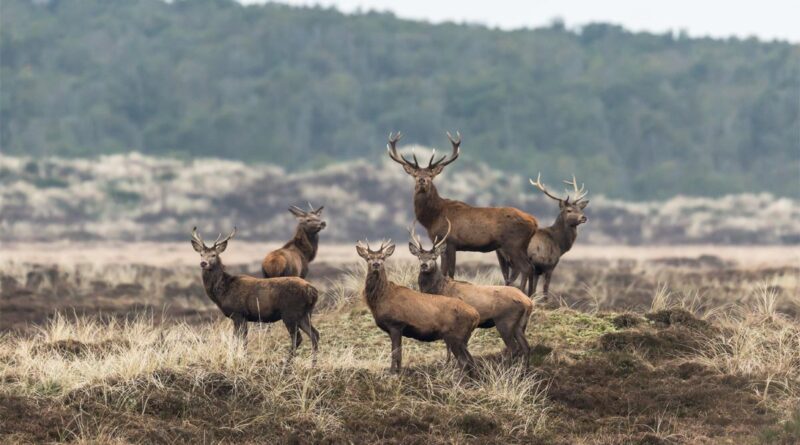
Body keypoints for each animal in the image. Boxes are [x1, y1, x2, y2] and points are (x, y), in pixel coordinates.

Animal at [191, 225, 318, 360]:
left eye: (214, 255)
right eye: (201, 254)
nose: (203, 263)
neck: (223, 292)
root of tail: (313, 291)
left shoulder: (239, 313)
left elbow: (242, 340)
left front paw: (242, 357)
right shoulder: (240, 317)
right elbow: (237, 339)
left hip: (290, 313)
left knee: (298, 338)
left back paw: (287, 362)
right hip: (304, 314)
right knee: (315, 334)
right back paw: (312, 362)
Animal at [358, 238, 482, 372]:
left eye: (382, 257)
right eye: (368, 258)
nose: (376, 264)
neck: (382, 298)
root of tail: (476, 315)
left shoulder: (396, 323)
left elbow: (395, 353)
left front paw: (392, 372)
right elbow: (399, 354)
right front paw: (399, 372)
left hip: (456, 335)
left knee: (464, 361)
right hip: (463, 338)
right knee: (471, 361)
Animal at [386, 131, 536, 292]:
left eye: (431, 175)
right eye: (415, 174)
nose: (422, 180)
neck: (433, 218)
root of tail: (534, 222)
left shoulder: (450, 241)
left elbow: (450, 271)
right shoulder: (441, 243)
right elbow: (445, 270)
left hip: (513, 244)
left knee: (525, 268)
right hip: (520, 246)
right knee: (530, 267)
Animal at [410, 220, 536, 360]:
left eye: (434, 257)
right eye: (419, 257)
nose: (424, 265)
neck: (438, 289)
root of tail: (528, 302)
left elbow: (449, 347)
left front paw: (448, 362)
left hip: (505, 321)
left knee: (513, 347)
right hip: (520, 324)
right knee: (526, 347)